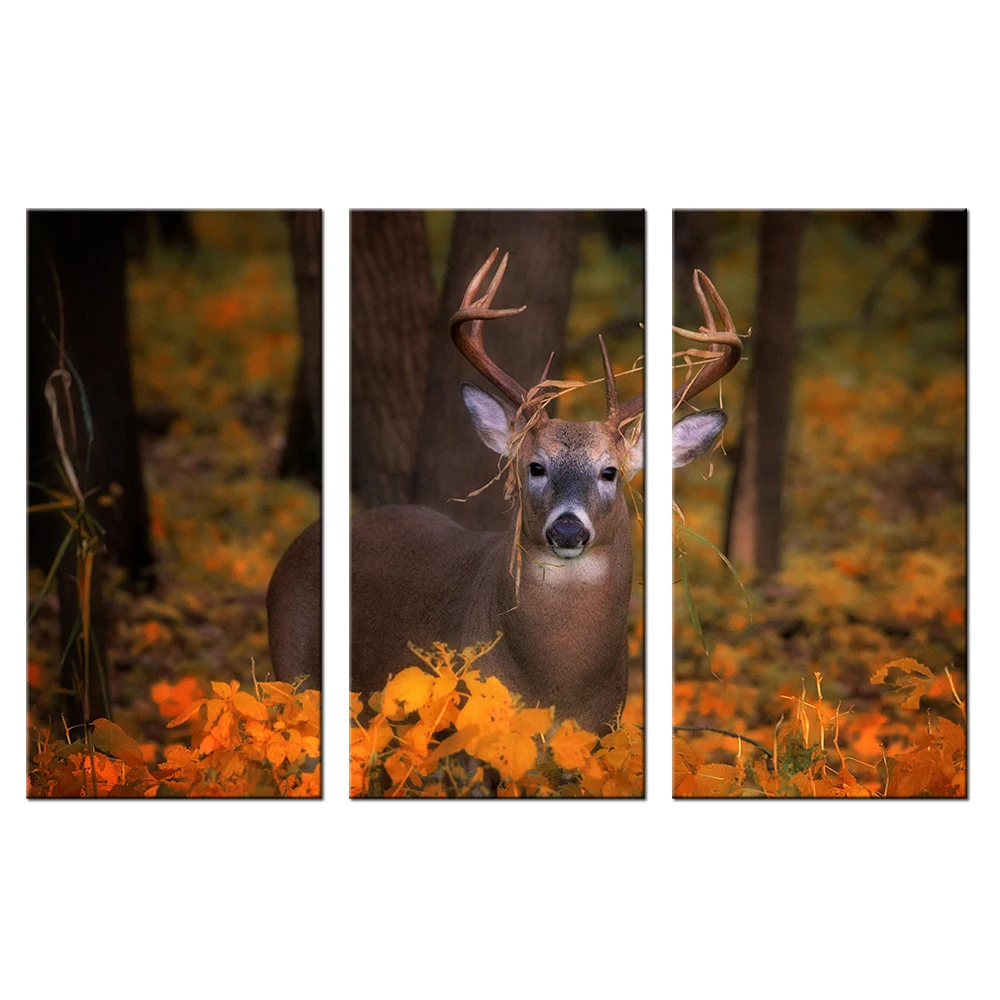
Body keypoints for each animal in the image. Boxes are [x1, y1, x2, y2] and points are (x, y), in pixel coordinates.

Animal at [267, 248, 643, 734]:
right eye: (535, 466)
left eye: (610, 471)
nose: (566, 529)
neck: (560, 685)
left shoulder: (601, 731)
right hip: (291, 667)